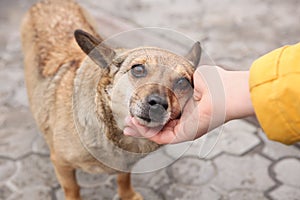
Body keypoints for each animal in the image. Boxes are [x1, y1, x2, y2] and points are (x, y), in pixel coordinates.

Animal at [19, 0, 200, 198]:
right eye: (138, 69)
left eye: (183, 82)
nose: (158, 103)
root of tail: (49, 2)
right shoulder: (62, 164)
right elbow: (73, 189)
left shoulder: (125, 167)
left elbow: (123, 179)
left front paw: (128, 195)